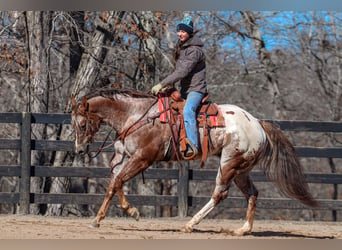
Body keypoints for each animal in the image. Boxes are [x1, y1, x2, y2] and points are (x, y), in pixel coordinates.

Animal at [70, 88, 318, 236]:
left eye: (81, 124)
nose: (80, 149)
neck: (136, 117)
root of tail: (258, 123)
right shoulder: (124, 159)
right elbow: (113, 184)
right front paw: (97, 220)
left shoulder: (143, 159)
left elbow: (120, 182)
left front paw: (133, 212)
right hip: (241, 170)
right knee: (252, 193)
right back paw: (243, 229)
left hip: (229, 164)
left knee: (220, 194)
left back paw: (190, 224)